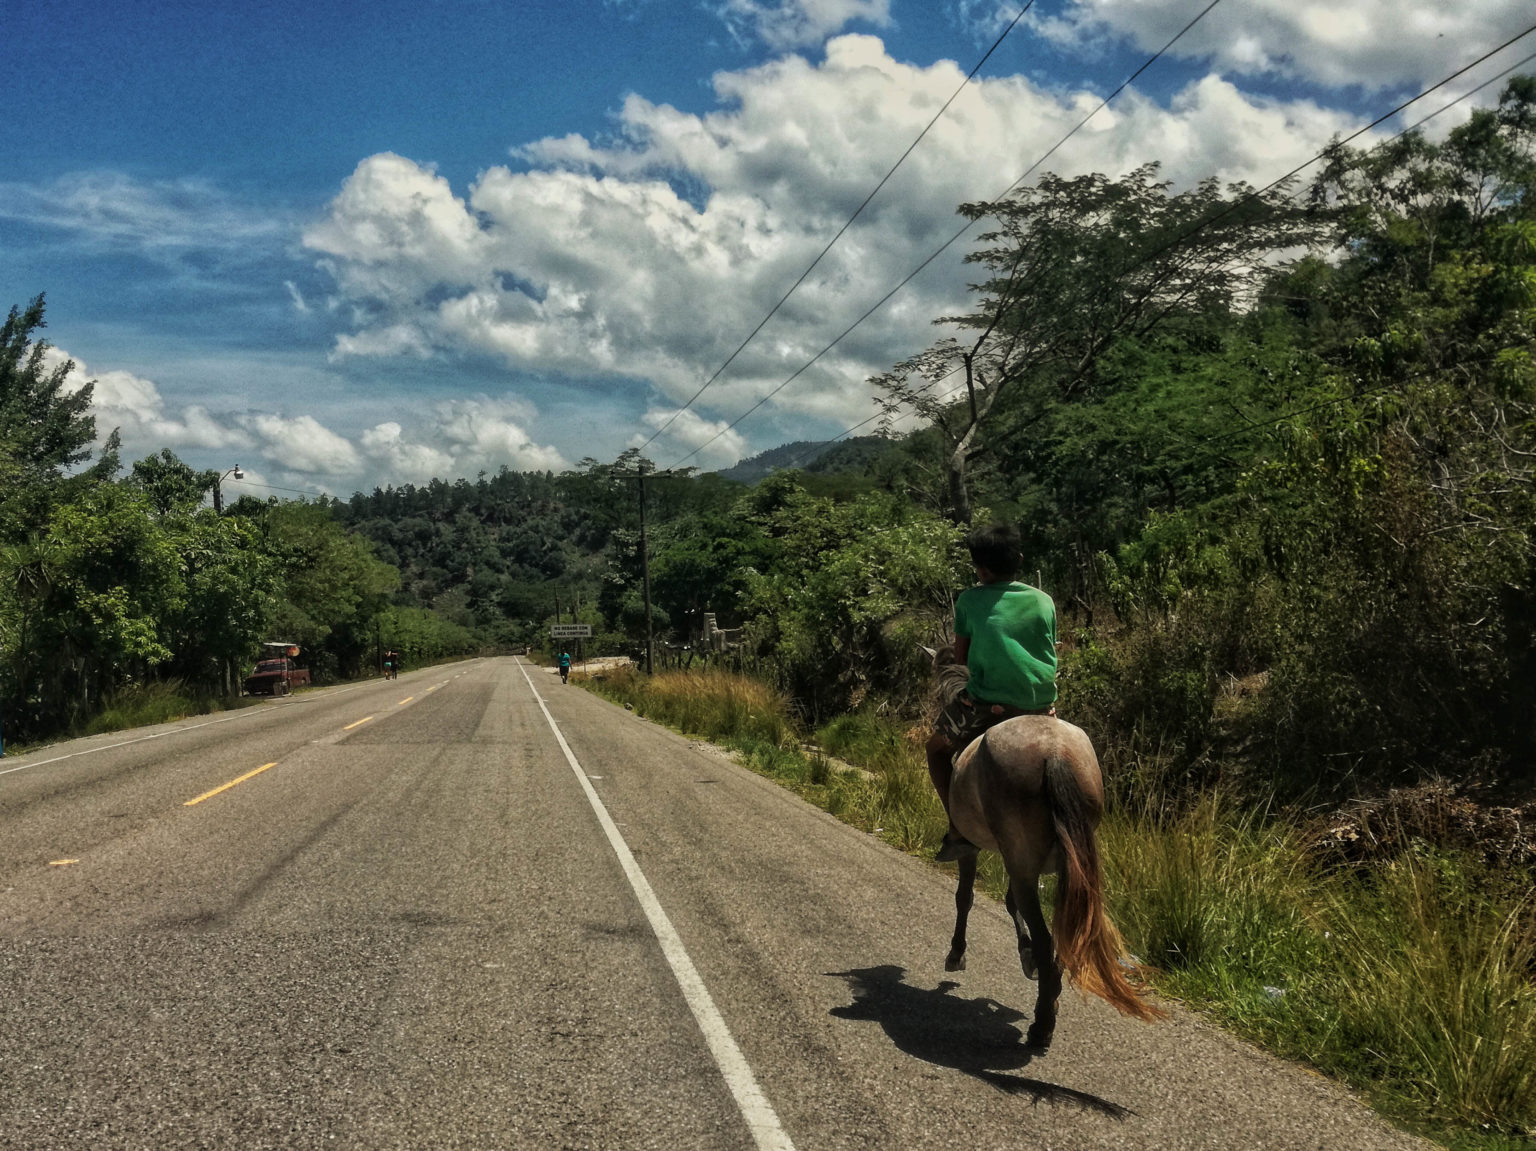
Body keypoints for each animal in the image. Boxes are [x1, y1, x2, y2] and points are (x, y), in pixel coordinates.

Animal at [921, 645, 1161, 1051]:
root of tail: (1054, 752)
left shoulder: (979, 850)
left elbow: (966, 896)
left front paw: (957, 953)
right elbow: (1006, 903)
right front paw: (1027, 955)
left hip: (1022, 858)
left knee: (1044, 931)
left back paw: (1042, 1025)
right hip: (1067, 864)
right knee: (1062, 935)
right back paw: (1048, 998)